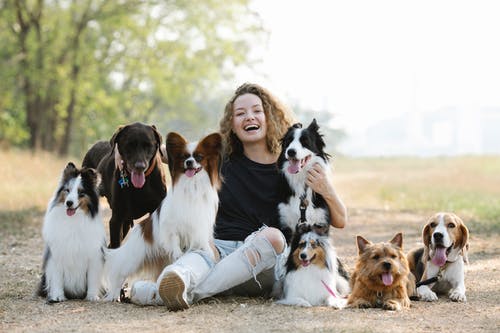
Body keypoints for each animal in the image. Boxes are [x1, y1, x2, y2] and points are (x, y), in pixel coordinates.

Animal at [37, 162, 107, 302]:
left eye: (81, 192)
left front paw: (92, 296)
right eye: (67, 190)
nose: (69, 203)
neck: (74, 218)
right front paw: (57, 296)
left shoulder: (93, 256)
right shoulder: (56, 254)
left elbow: (92, 278)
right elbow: (57, 278)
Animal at [103, 131, 221, 300]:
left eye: (199, 157)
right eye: (184, 157)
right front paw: (178, 253)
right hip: (132, 258)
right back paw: (113, 295)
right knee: (119, 273)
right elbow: (175, 240)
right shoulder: (171, 226)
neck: (193, 185)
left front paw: (207, 251)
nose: (189, 162)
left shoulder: (200, 223)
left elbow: (201, 240)